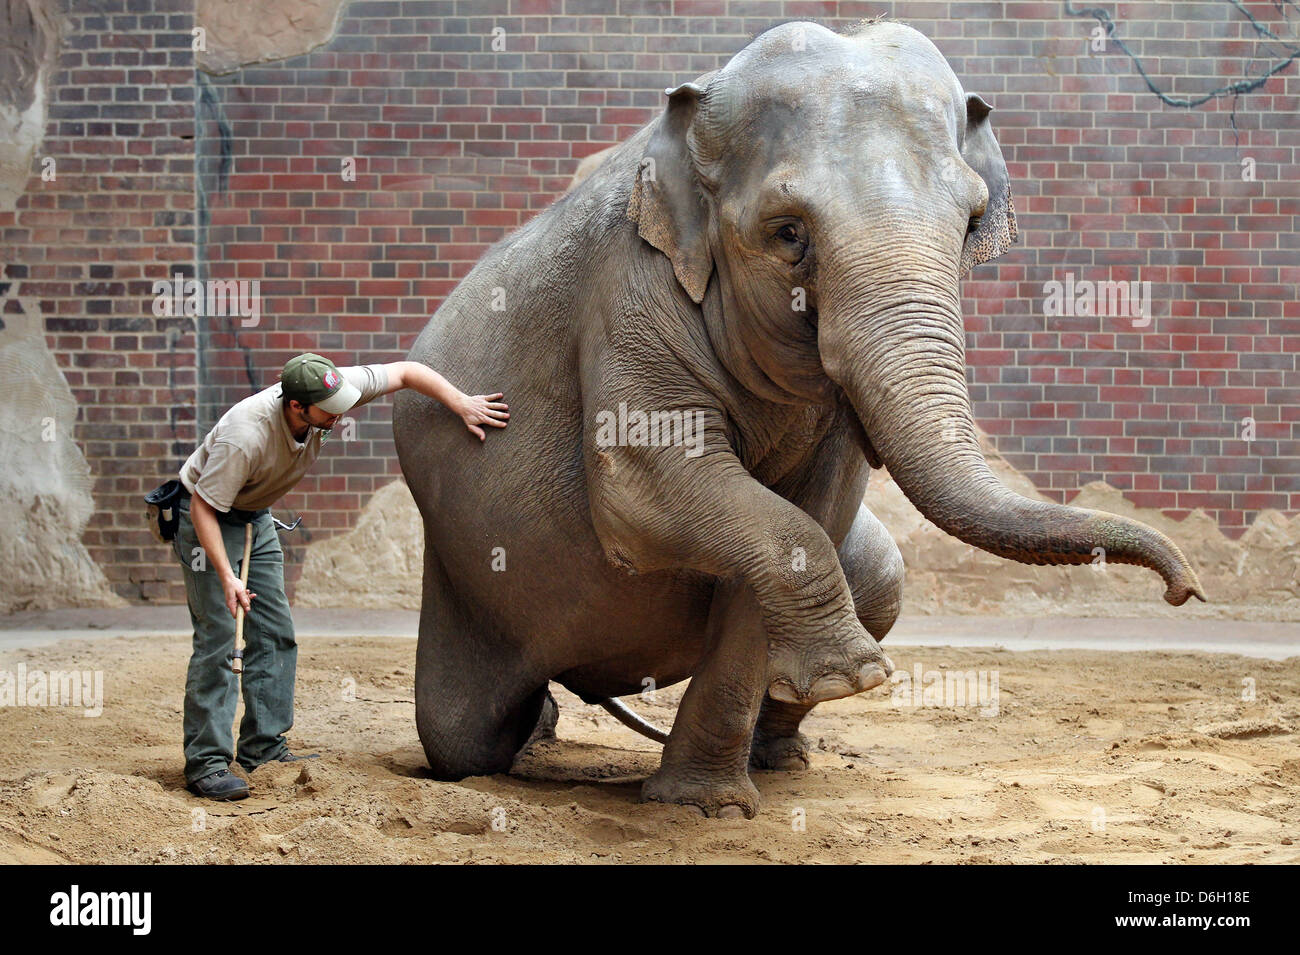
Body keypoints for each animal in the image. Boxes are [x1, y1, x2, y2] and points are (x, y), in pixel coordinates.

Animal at [390, 18, 1201, 815]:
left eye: (973, 223)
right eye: (787, 233)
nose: (1185, 589)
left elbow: (817, 509)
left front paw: (708, 798)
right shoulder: (628, 289)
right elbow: (646, 488)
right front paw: (852, 681)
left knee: (882, 573)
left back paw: (778, 755)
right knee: (460, 733)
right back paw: (531, 737)